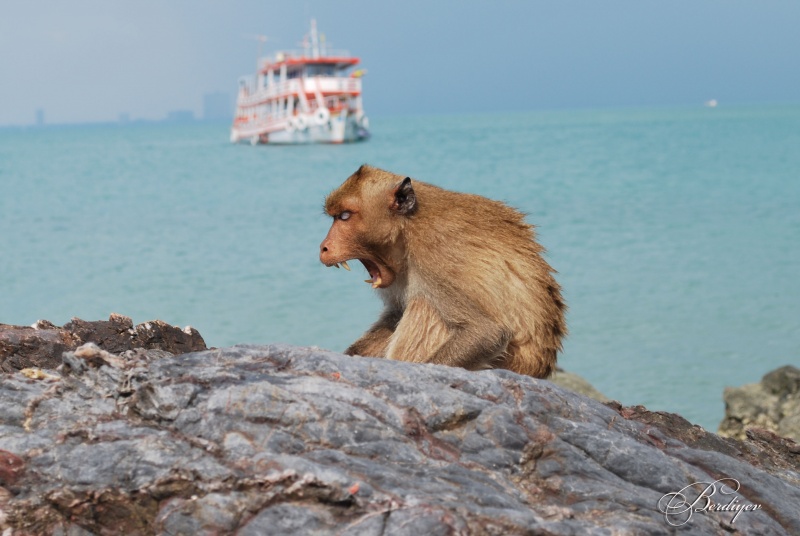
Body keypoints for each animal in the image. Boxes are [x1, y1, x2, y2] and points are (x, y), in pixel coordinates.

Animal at [319, 164, 566, 378]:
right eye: (336, 216)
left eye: (344, 216)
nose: (323, 247)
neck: (408, 228)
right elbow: (396, 314)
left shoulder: (436, 254)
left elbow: (486, 331)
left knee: (425, 305)